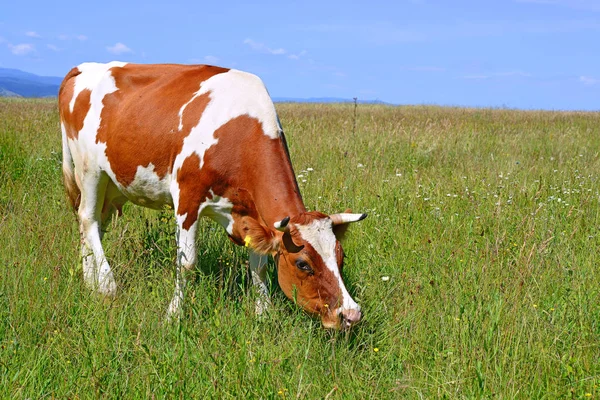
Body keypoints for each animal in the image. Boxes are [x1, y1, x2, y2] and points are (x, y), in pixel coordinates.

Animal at [58, 62, 366, 330]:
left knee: (94, 224)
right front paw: (173, 315)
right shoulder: (187, 198)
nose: (350, 315)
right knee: (87, 219)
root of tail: (84, 67)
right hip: (89, 170)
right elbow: (187, 263)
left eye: (341, 256)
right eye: (303, 264)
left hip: (113, 183)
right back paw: (107, 285)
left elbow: (259, 265)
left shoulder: (252, 216)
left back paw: (90, 281)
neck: (238, 132)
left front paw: (263, 314)